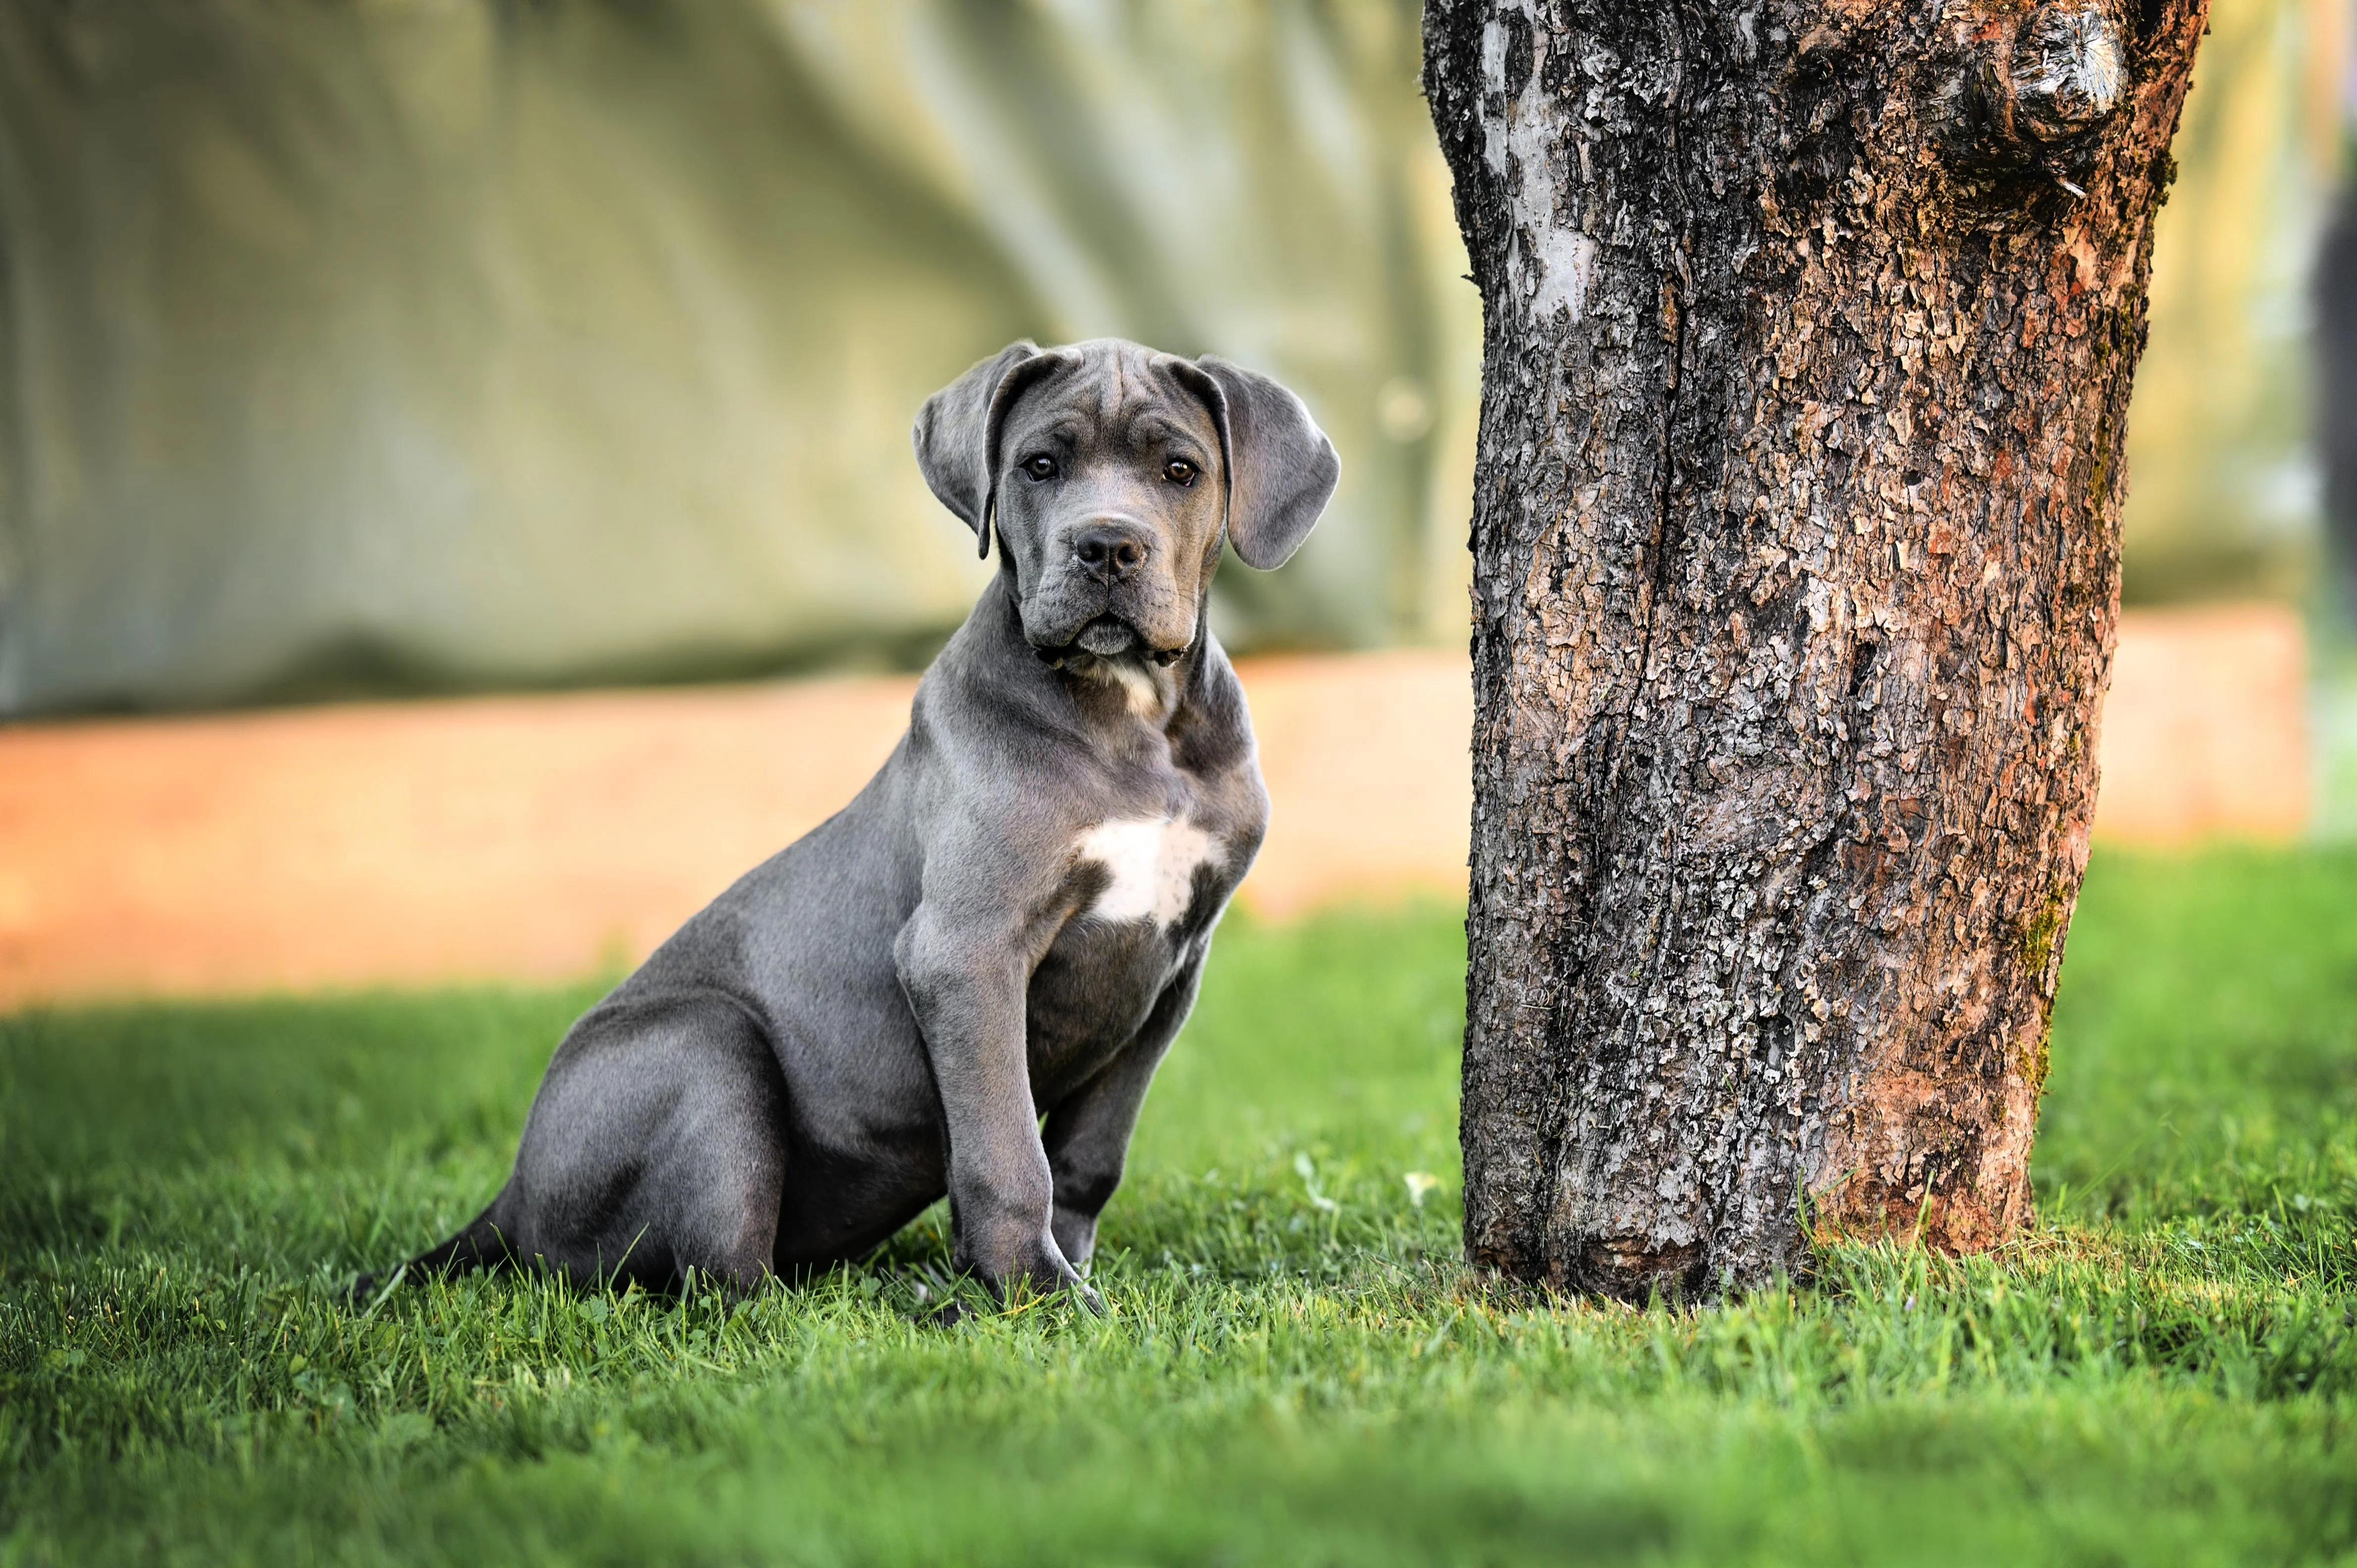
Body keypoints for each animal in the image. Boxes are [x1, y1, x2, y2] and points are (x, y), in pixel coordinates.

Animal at [356, 337, 1338, 1301]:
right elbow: (1006, 1146)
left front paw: (1059, 1270)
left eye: (1180, 470)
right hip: (708, 1044)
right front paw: (1037, 1294)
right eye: (1040, 465)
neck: (1131, 712)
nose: (1105, 545)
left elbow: (1091, 1151)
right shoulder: (966, 950)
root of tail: (510, 1197)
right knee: (719, 1284)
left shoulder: (1170, 970)